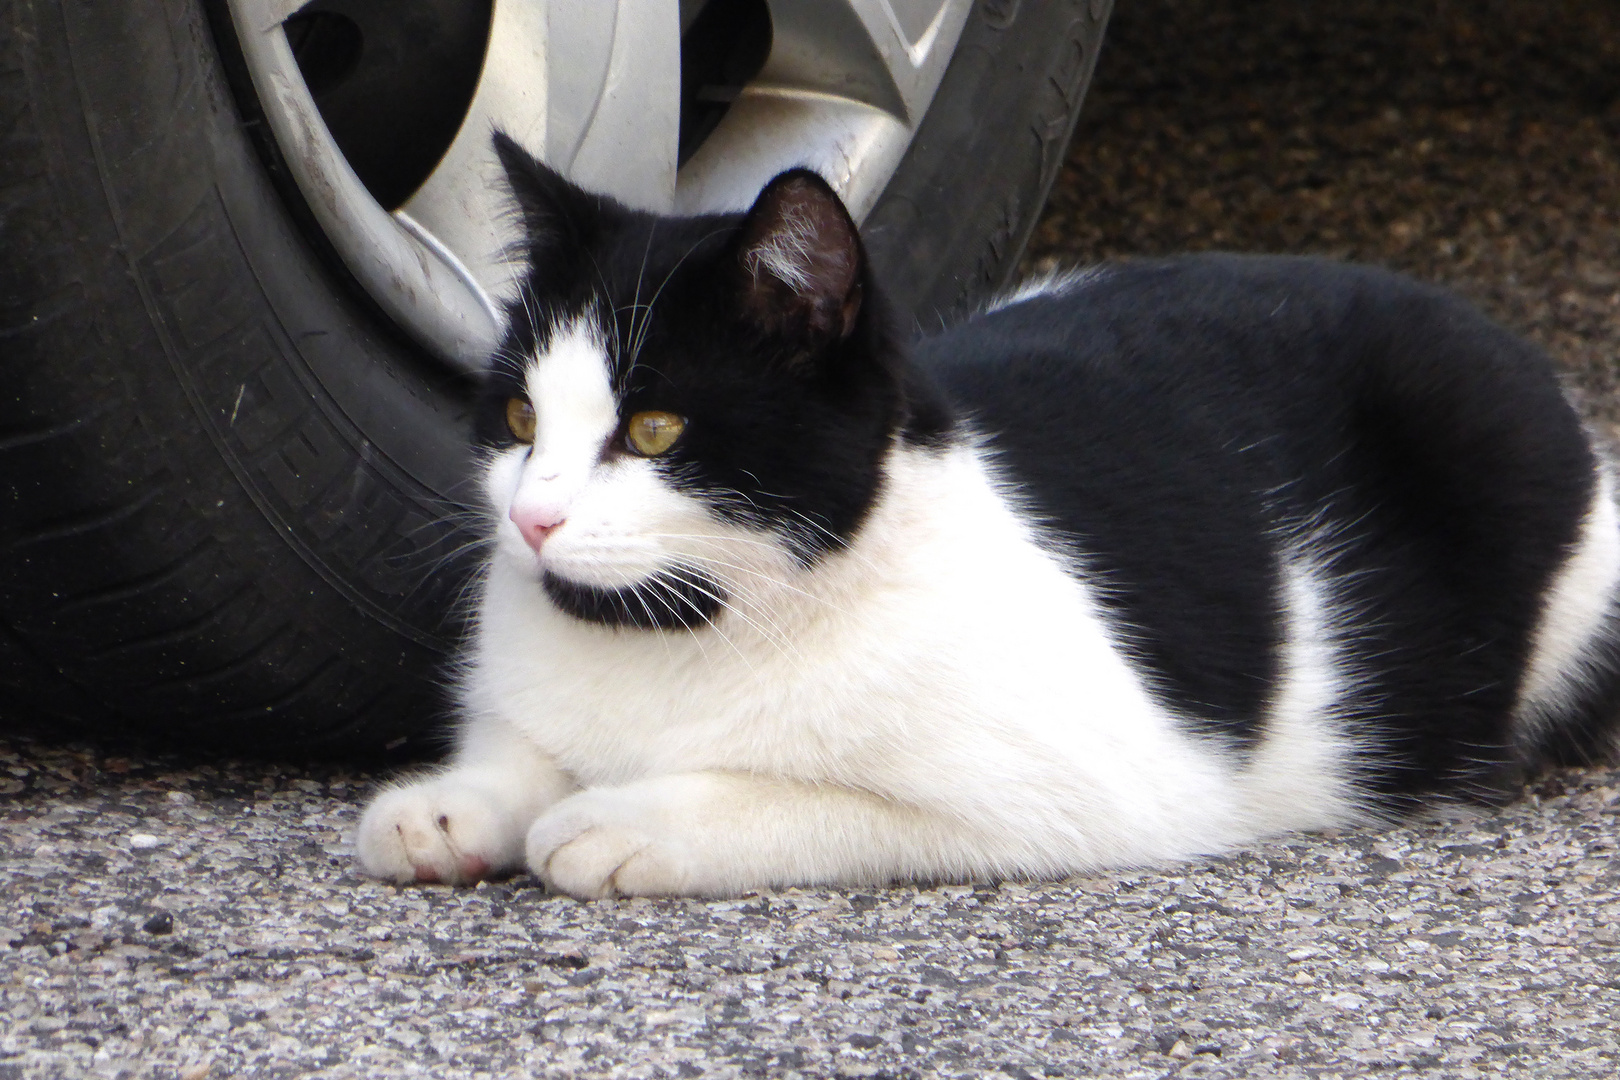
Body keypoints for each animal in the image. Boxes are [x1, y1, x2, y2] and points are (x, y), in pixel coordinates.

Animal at [354, 131, 1620, 900]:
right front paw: (454, 804)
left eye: (656, 431)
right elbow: (516, 747)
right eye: (521, 415)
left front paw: (630, 821)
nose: (533, 520)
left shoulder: (1092, 790)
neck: (677, 634)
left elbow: (808, 799)